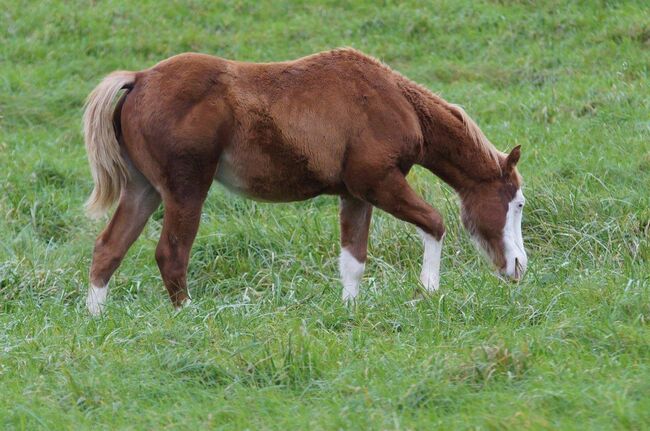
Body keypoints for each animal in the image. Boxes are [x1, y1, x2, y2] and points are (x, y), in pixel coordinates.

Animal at [82, 48, 528, 318]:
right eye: (518, 204)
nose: (519, 267)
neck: (391, 99)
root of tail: (140, 78)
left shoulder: (356, 194)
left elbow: (353, 260)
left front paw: (350, 311)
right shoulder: (379, 183)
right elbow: (434, 222)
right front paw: (430, 290)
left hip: (144, 189)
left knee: (109, 248)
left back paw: (96, 316)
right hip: (185, 189)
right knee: (171, 254)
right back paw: (188, 315)